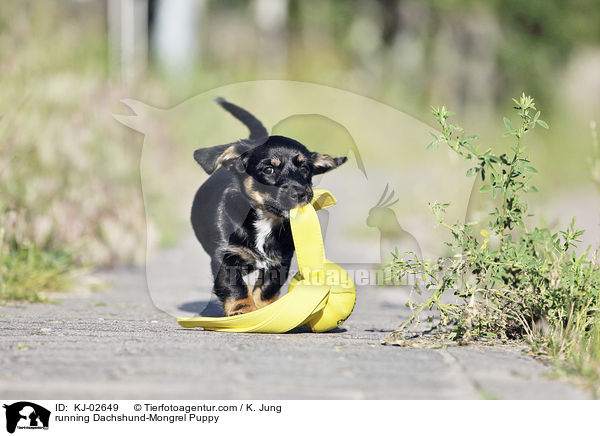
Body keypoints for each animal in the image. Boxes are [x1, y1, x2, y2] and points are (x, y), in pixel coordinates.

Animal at [190, 98, 344, 316]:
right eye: (268, 170)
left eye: (305, 168)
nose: (301, 194)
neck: (266, 220)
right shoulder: (225, 256)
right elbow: (235, 287)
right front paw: (244, 310)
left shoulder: (280, 262)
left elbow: (266, 289)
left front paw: (263, 310)